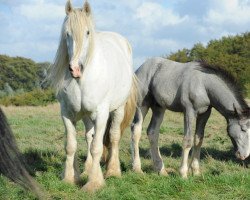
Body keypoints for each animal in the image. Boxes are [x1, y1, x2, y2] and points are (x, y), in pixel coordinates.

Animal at [47, 0, 138, 192]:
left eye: (88, 32)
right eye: (67, 33)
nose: (75, 69)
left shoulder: (101, 114)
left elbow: (97, 147)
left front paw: (94, 183)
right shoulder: (67, 114)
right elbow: (71, 146)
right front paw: (70, 178)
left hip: (117, 110)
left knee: (114, 136)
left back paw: (113, 171)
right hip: (86, 115)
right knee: (89, 136)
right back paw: (87, 170)